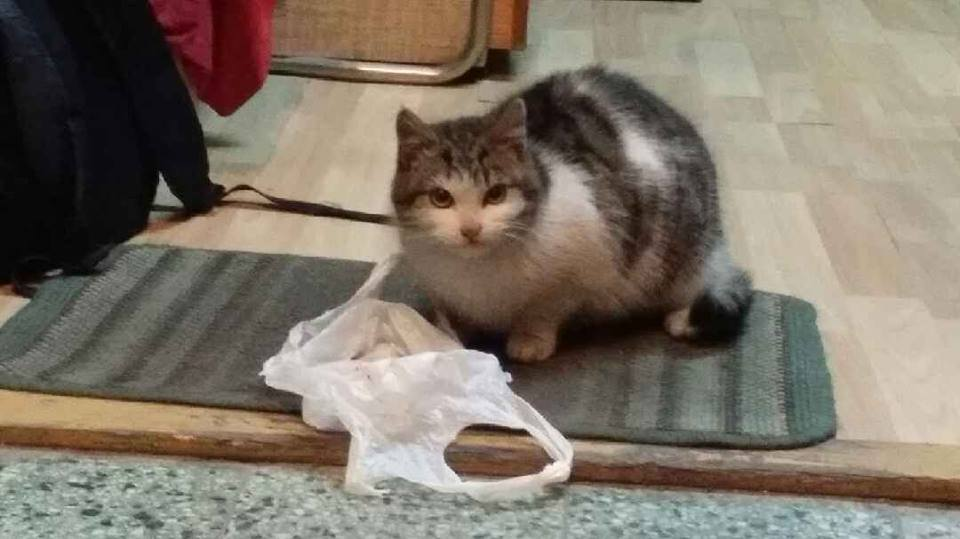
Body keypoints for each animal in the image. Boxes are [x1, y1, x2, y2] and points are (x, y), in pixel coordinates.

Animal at [390, 66, 752, 363]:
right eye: (441, 198)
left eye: (496, 194)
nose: (470, 229)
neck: (477, 273)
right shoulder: (436, 282)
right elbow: (449, 315)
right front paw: (444, 337)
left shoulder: (584, 267)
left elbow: (546, 309)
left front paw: (530, 340)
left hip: (680, 252)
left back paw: (680, 317)